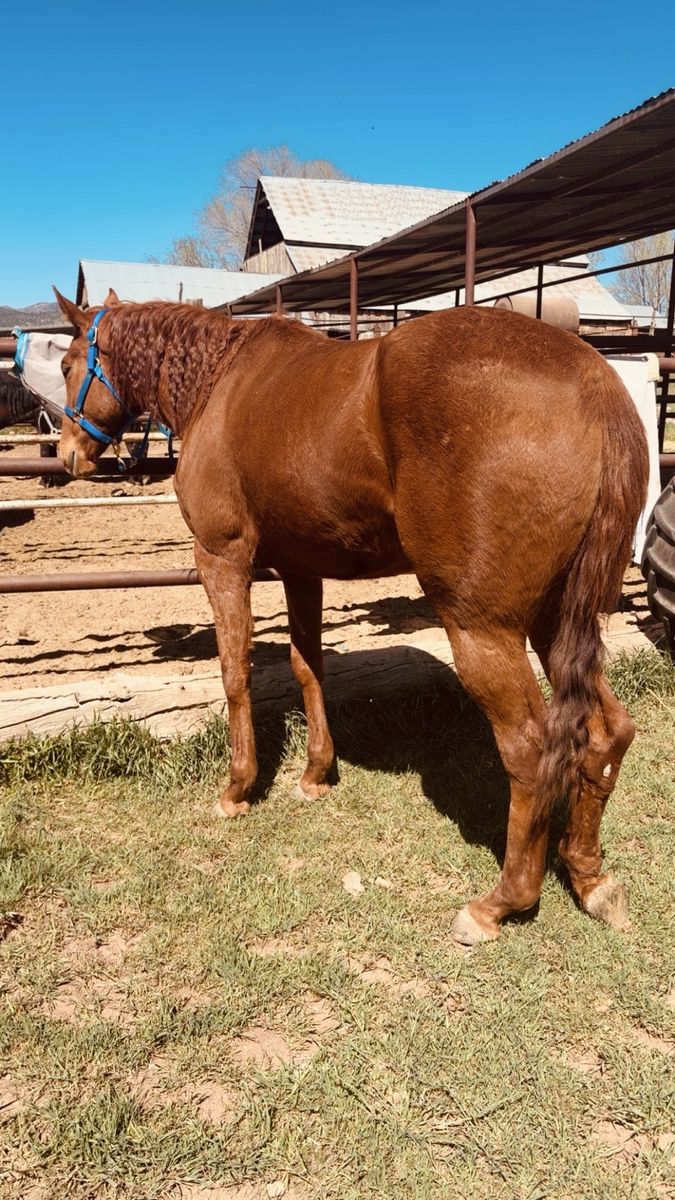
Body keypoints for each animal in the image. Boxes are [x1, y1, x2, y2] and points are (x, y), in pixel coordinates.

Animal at [53, 287, 648, 946]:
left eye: (67, 364)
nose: (66, 454)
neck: (220, 380)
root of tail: (595, 383)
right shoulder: (300, 570)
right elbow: (307, 666)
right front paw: (315, 773)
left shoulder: (222, 558)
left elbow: (235, 672)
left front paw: (237, 787)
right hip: (558, 620)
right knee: (606, 732)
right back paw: (590, 877)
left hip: (482, 626)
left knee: (529, 749)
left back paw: (500, 903)